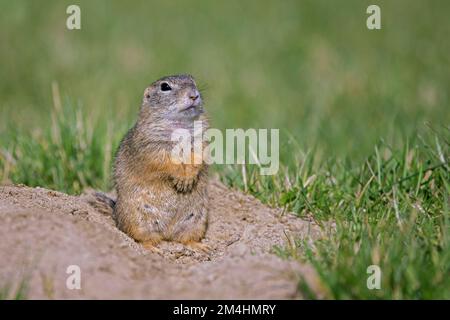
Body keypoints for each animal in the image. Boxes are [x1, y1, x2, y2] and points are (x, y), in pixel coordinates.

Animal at [94, 75, 209, 252]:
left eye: (193, 81)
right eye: (165, 87)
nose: (194, 95)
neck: (180, 125)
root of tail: (167, 234)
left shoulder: (200, 139)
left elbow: (199, 156)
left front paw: (188, 178)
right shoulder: (151, 145)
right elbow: (162, 161)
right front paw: (181, 179)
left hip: (196, 219)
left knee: (184, 238)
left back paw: (199, 246)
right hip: (137, 220)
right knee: (142, 238)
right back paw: (151, 248)